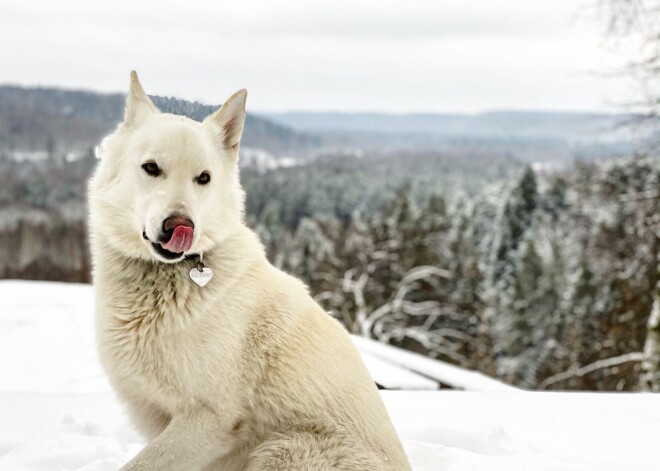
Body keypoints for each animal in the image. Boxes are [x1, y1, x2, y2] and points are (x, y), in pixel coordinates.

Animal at [85, 72, 410, 470]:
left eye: (203, 178)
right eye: (151, 168)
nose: (181, 226)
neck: (169, 281)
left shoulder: (209, 419)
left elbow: (139, 465)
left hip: (282, 449)